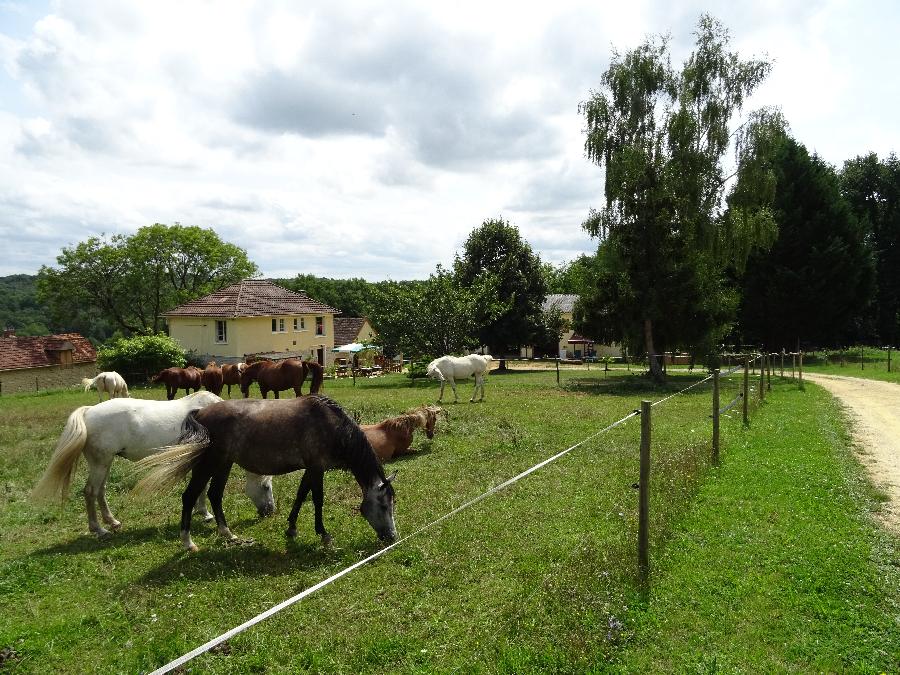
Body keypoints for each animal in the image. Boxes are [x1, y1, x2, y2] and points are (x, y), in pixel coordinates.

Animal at [32, 390, 274, 540]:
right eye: (266, 487)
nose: (270, 511)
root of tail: (89, 411)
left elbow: (200, 488)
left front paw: (202, 512)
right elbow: (202, 487)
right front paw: (206, 514)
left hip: (104, 463)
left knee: (100, 491)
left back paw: (112, 522)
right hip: (101, 463)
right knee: (90, 491)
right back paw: (99, 530)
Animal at [134, 398, 398, 552]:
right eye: (385, 506)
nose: (392, 537)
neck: (332, 426)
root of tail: (199, 413)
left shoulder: (311, 469)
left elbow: (301, 496)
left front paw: (291, 529)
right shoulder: (316, 468)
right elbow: (317, 500)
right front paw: (323, 535)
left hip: (224, 463)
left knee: (215, 494)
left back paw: (228, 534)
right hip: (208, 463)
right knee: (190, 496)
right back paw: (188, 542)